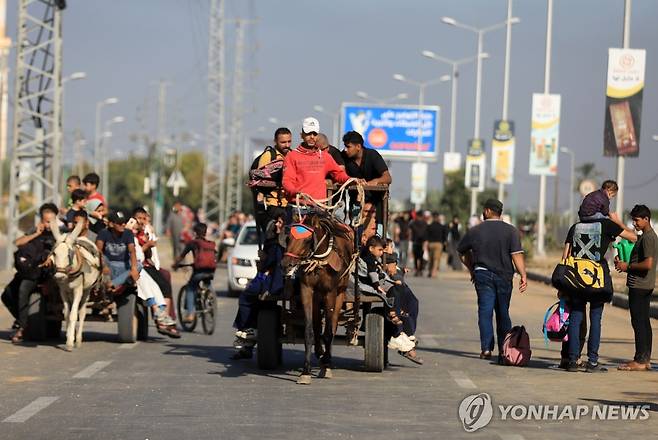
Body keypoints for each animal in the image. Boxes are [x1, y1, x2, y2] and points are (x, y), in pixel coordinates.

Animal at [50, 219, 102, 350]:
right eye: (54, 253)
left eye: (69, 253)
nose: (59, 276)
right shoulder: (63, 291)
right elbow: (67, 314)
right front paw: (69, 336)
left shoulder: (78, 290)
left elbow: (74, 314)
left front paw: (70, 343)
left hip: (87, 290)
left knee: (82, 312)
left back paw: (78, 339)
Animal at [280, 211, 356, 384]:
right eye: (288, 238)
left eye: (308, 240)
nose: (286, 264)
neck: (319, 261)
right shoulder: (307, 290)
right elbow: (309, 331)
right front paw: (305, 372)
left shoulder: (330, 292)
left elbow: (328, 332)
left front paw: (326, 365)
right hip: (317, 297)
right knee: (316, 325)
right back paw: (319, 352)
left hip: (340, 292)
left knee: (333, 325)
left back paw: (326, 359)